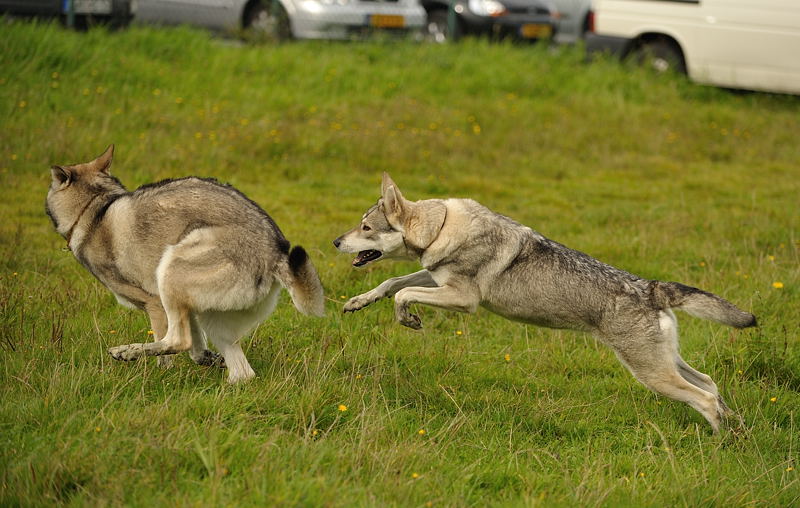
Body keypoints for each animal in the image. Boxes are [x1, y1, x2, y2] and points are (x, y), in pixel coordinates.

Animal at [46, 145, 325, 383]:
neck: (94, 208)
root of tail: (276, 253)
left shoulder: (154, 303)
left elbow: (174, 349)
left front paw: (162, 375)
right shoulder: (187, 309)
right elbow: (198, 350)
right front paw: (209, 359)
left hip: (170, 270)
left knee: (178, 341)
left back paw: (128, 351)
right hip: (211, 317)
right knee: (242, 373)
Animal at [334, 173, 756, 432]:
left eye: (366, 228)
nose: (336, 241)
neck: (440, 227)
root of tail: (652, 287)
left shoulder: (463, 299)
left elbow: (402, 293)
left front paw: (408, 319)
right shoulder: (436, 277)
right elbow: (392, 282)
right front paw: (358, 302)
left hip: (652, 373)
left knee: (705, 398)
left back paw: (720, 443)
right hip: (666, 363)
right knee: (711, 384)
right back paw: (735, 427)